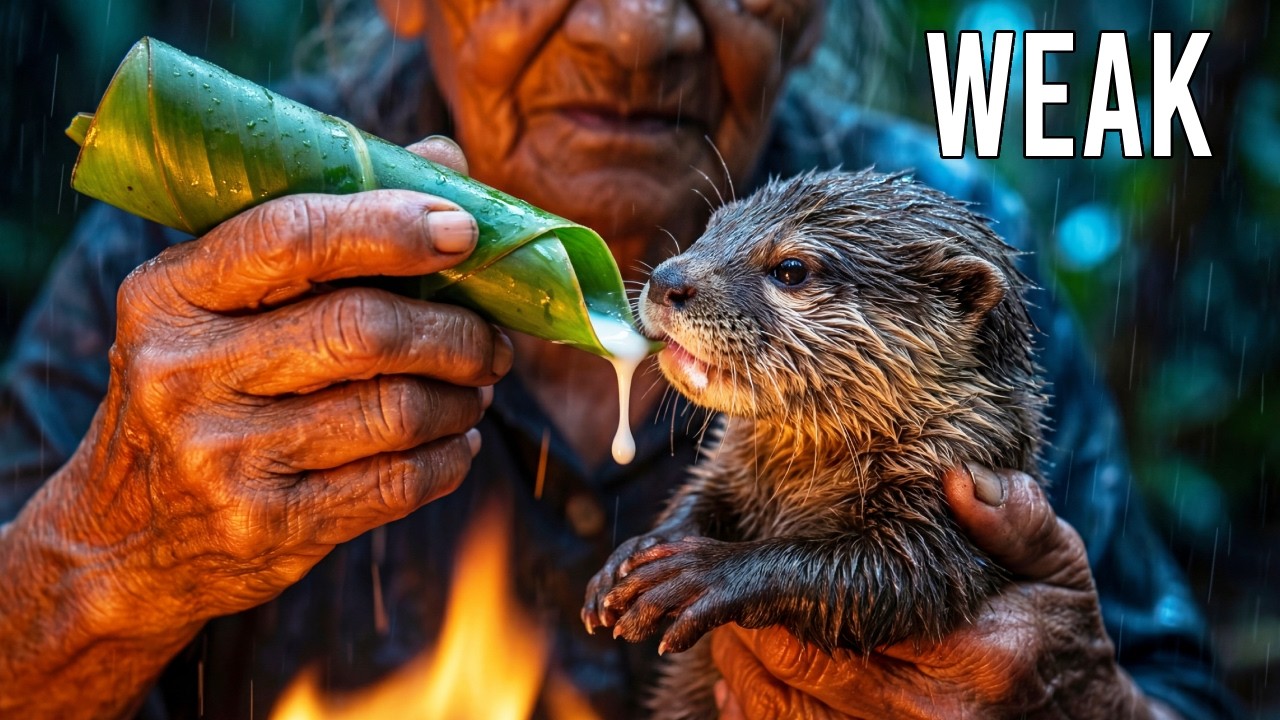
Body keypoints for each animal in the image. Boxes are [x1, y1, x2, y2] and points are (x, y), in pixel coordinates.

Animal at [580, 168, 1046, 720]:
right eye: (714, 226)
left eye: (791, 269)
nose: (668, 280)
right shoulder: (728, 466)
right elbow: (701, 497)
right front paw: (636, 553)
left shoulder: (956, 484)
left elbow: (901, 575)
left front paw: (698, 573)